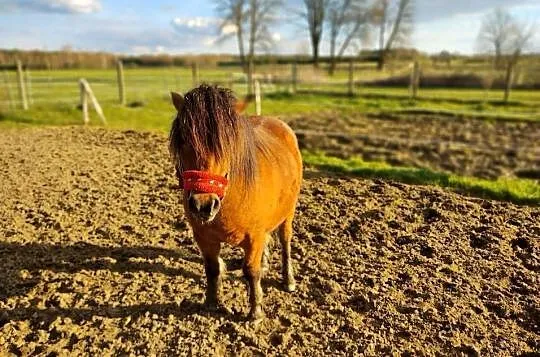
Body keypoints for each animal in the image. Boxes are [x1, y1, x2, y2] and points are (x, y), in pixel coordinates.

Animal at [169, 85, 304, 322]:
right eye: (183, 140)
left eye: (226, 144)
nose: (203, 206)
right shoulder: (203, 237)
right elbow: (212, 268)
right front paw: (211, 302)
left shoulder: (254, 238)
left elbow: (250, 270)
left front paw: (255, 311)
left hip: (288, 212)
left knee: (285, 242)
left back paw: (288, 279)